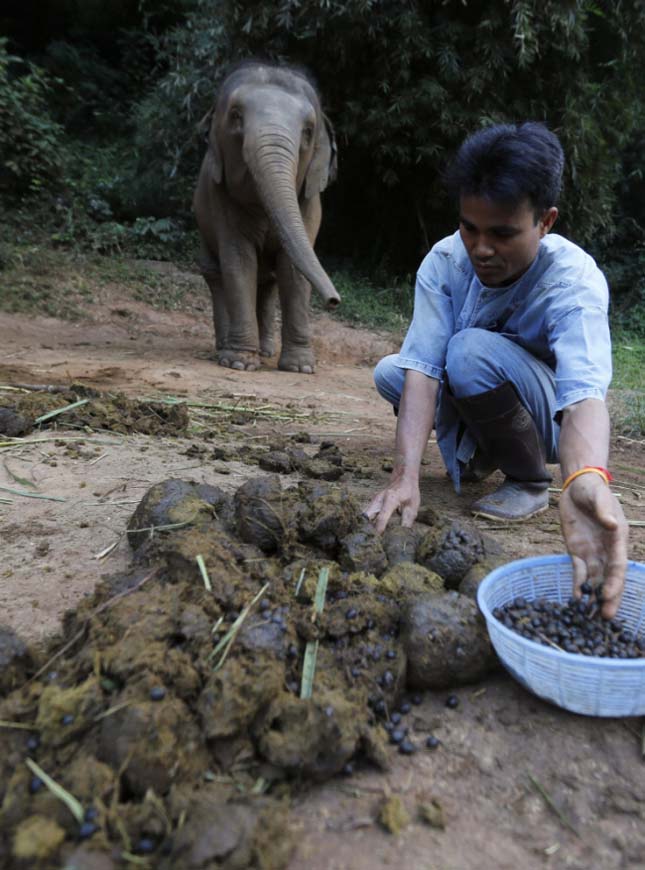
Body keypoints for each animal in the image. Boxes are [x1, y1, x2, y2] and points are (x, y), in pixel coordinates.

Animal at [192, 60, 340, 374]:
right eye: (236, 116)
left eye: (308, 131)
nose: (334, 301)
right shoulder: (220, 198)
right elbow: (238, 260)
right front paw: (239, 363)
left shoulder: (309, 202)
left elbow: (293, 268)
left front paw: (301, 368)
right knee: (215, 273)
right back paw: (226, 347)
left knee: (269, 282)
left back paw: (266, 350)